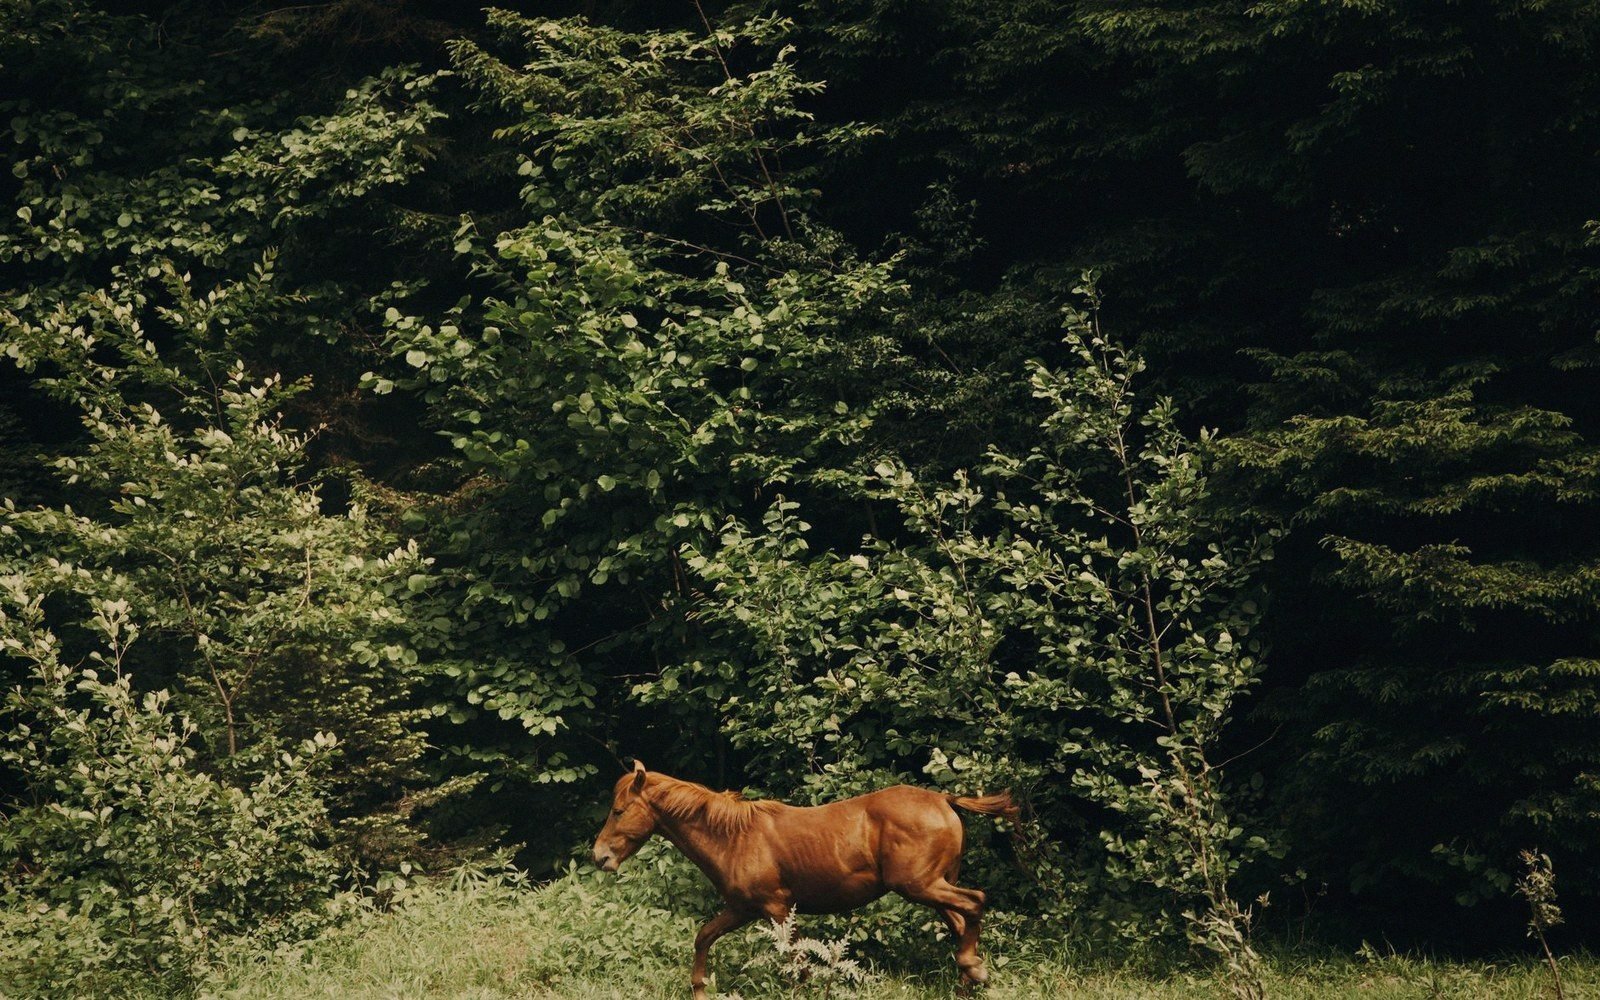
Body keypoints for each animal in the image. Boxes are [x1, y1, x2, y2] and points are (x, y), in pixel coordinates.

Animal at [591, 761, 1019, 999]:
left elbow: (795, 963)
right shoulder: (743, 910)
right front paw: (699, 990)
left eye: (619, 810)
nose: (600, 857)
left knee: (975, 902)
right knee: (962, 921)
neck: (734, 838)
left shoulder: (776, 909)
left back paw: (974, 969)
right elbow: (703, 937)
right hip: (932, 888)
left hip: (921, 886)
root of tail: (945, 800)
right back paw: (968, 982)